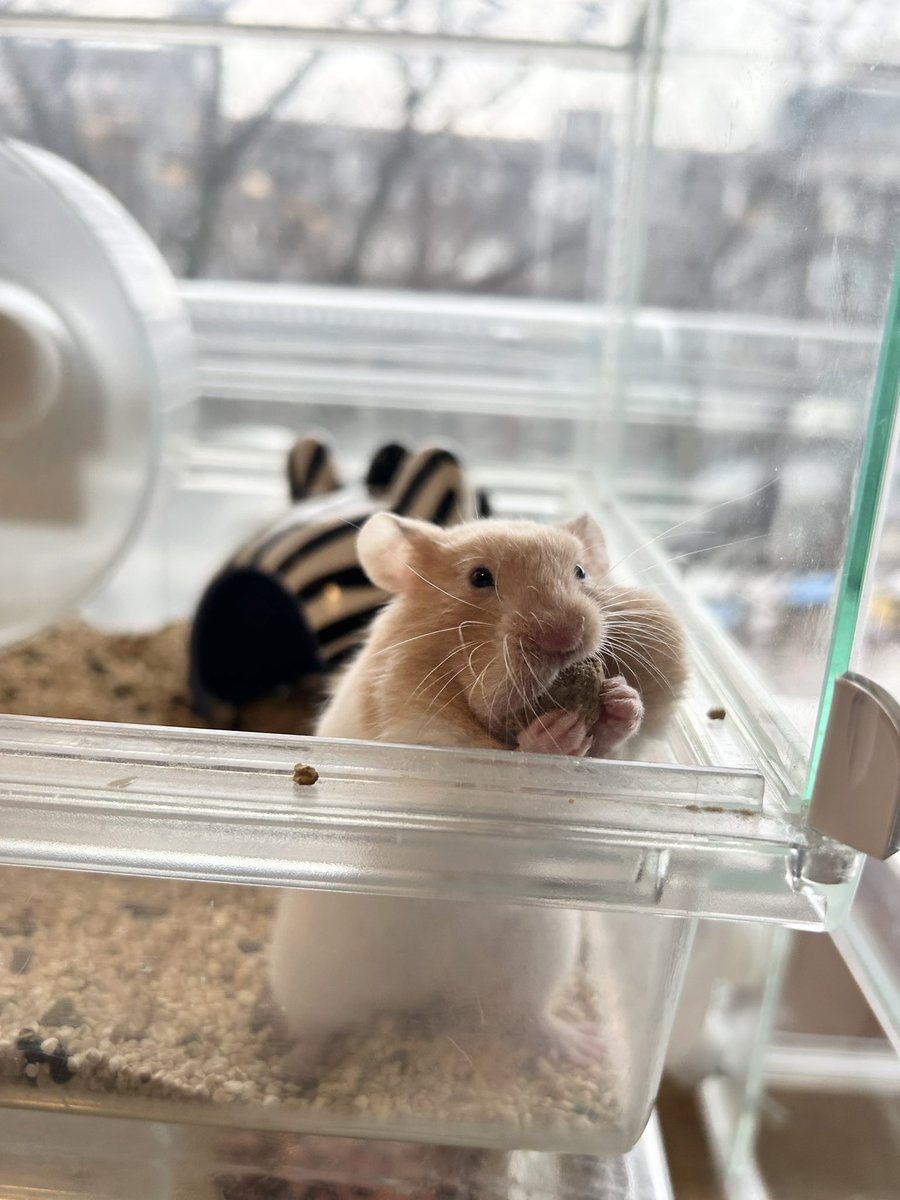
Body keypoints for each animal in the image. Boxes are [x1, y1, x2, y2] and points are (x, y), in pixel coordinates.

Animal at [269, 512, 685, 1078]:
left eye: (580, 571)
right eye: (480, 578)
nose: (567, 635)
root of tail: (421, 993)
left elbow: (613, 750)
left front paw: (622, 701)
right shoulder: (414, 747)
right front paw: (552, 734)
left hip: (538, 952)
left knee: (524, 1017)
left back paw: (585, 1049)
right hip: (308, 976)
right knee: (317, 1027)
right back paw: (292, 1075)